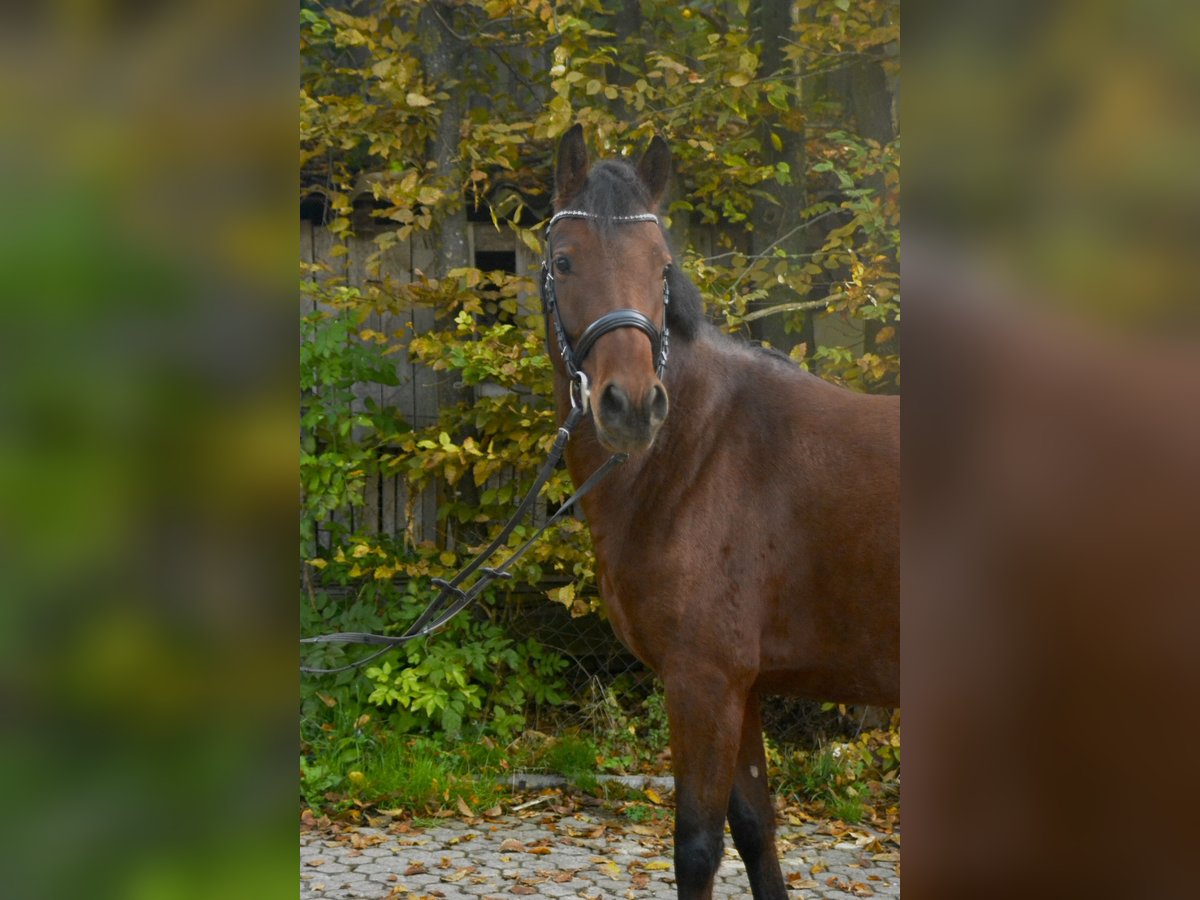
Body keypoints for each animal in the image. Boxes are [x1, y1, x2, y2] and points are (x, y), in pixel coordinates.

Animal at [544, 121, 902, 900]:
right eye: (563, 261)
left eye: (661, 265)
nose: (631, 406)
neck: (701, 451)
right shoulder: (745, 688)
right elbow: (757, 833)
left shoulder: (703, 682)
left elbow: (698, 846)